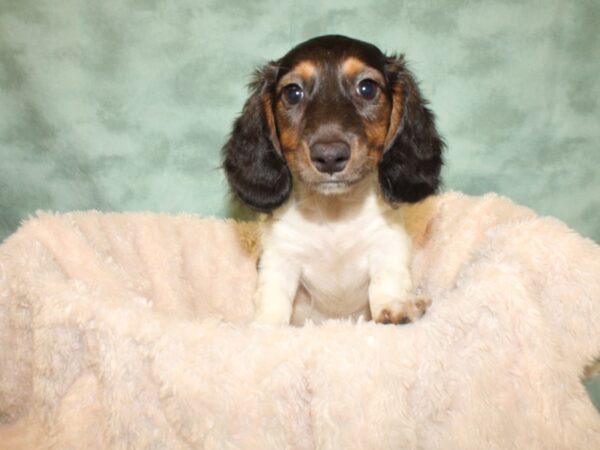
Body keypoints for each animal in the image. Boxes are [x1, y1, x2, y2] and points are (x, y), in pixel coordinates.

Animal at [223, 34, 442, 324]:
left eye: (367, 88)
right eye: (293, 93)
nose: (329, 157)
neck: (333, 213)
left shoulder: (387, 242)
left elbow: (387, 280)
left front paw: (395, 306)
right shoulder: (280, 255)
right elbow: (273, 298)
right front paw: (266, 325)